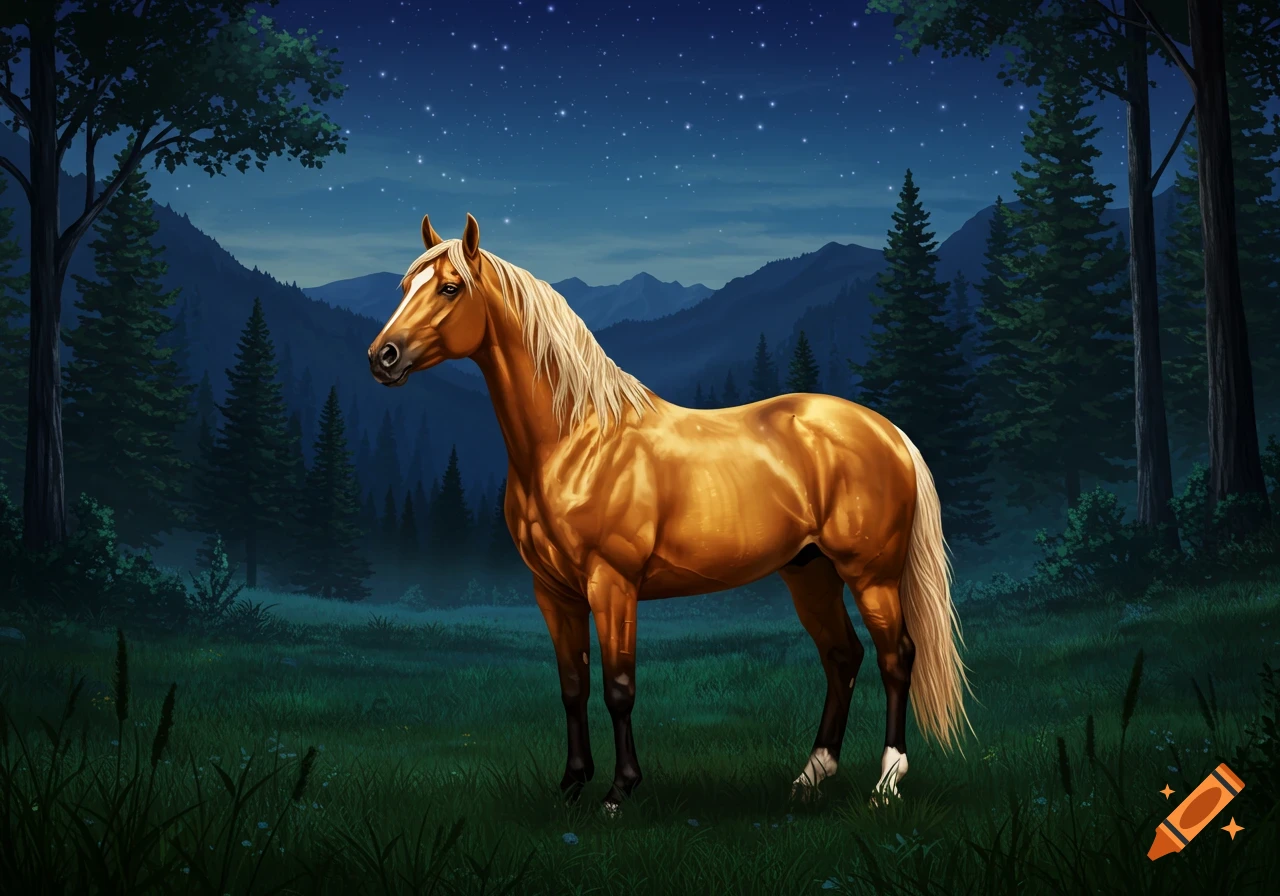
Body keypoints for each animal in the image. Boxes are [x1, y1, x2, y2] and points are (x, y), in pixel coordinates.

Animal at [367, 213, 971, 813]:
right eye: (406, 286)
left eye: (450, 288)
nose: (382, 357)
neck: (576, 440)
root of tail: (887, 431)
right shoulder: (554, 592)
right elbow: (572, 687)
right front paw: (571, 785)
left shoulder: (612, 584)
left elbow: (618, 687)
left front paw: (619, 791)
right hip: (810, 572)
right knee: (841, 656)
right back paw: (811, 775)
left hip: (871, 575)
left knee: (896, 658)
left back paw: (886, 782)